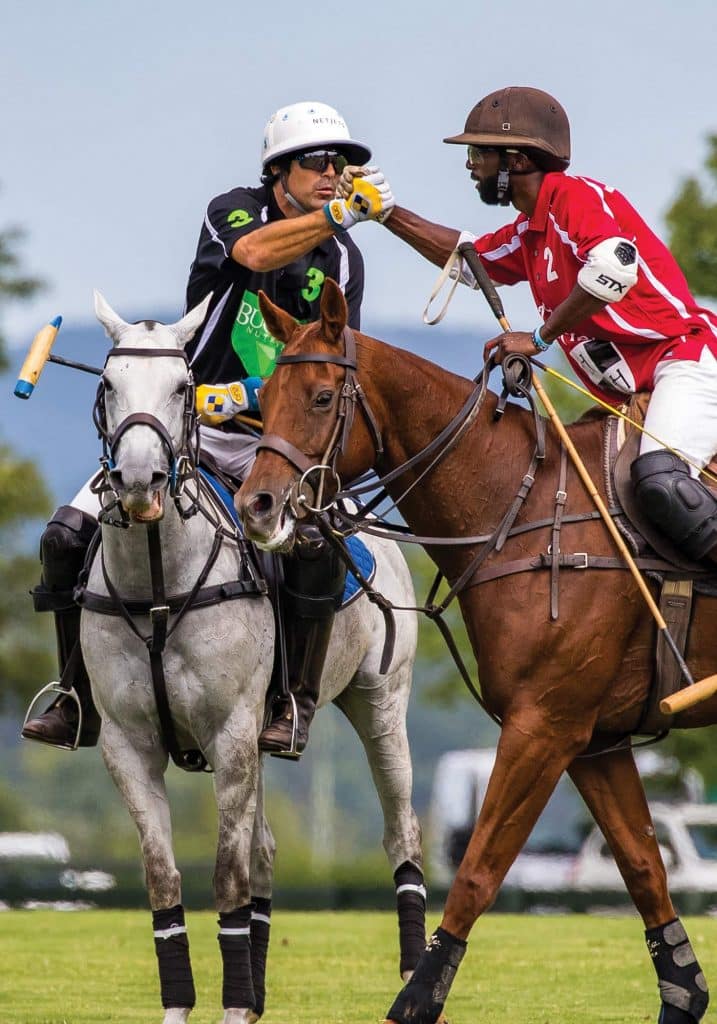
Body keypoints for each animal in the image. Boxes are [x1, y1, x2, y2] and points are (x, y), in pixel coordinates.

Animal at [78, 292, 426, 1019]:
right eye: (109, 384)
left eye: (182, 388)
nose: (140, 481)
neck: (158, 585)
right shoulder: (126, 743)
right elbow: (164, 876)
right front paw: (186, 1005)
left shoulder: (231, 733)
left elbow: (228, 876)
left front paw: (233, 1006)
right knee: (266, 849)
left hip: (381, 702)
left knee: (401, 830)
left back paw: (413, 974)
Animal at [236, 278, 717, 1024]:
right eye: (265, 400)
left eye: (319, 397)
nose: (256, 506)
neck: (517, 509)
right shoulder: (592, 737)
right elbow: (644, 868)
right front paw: (684, 993)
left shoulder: (542, 725)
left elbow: (478, 869)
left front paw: (415, 999)